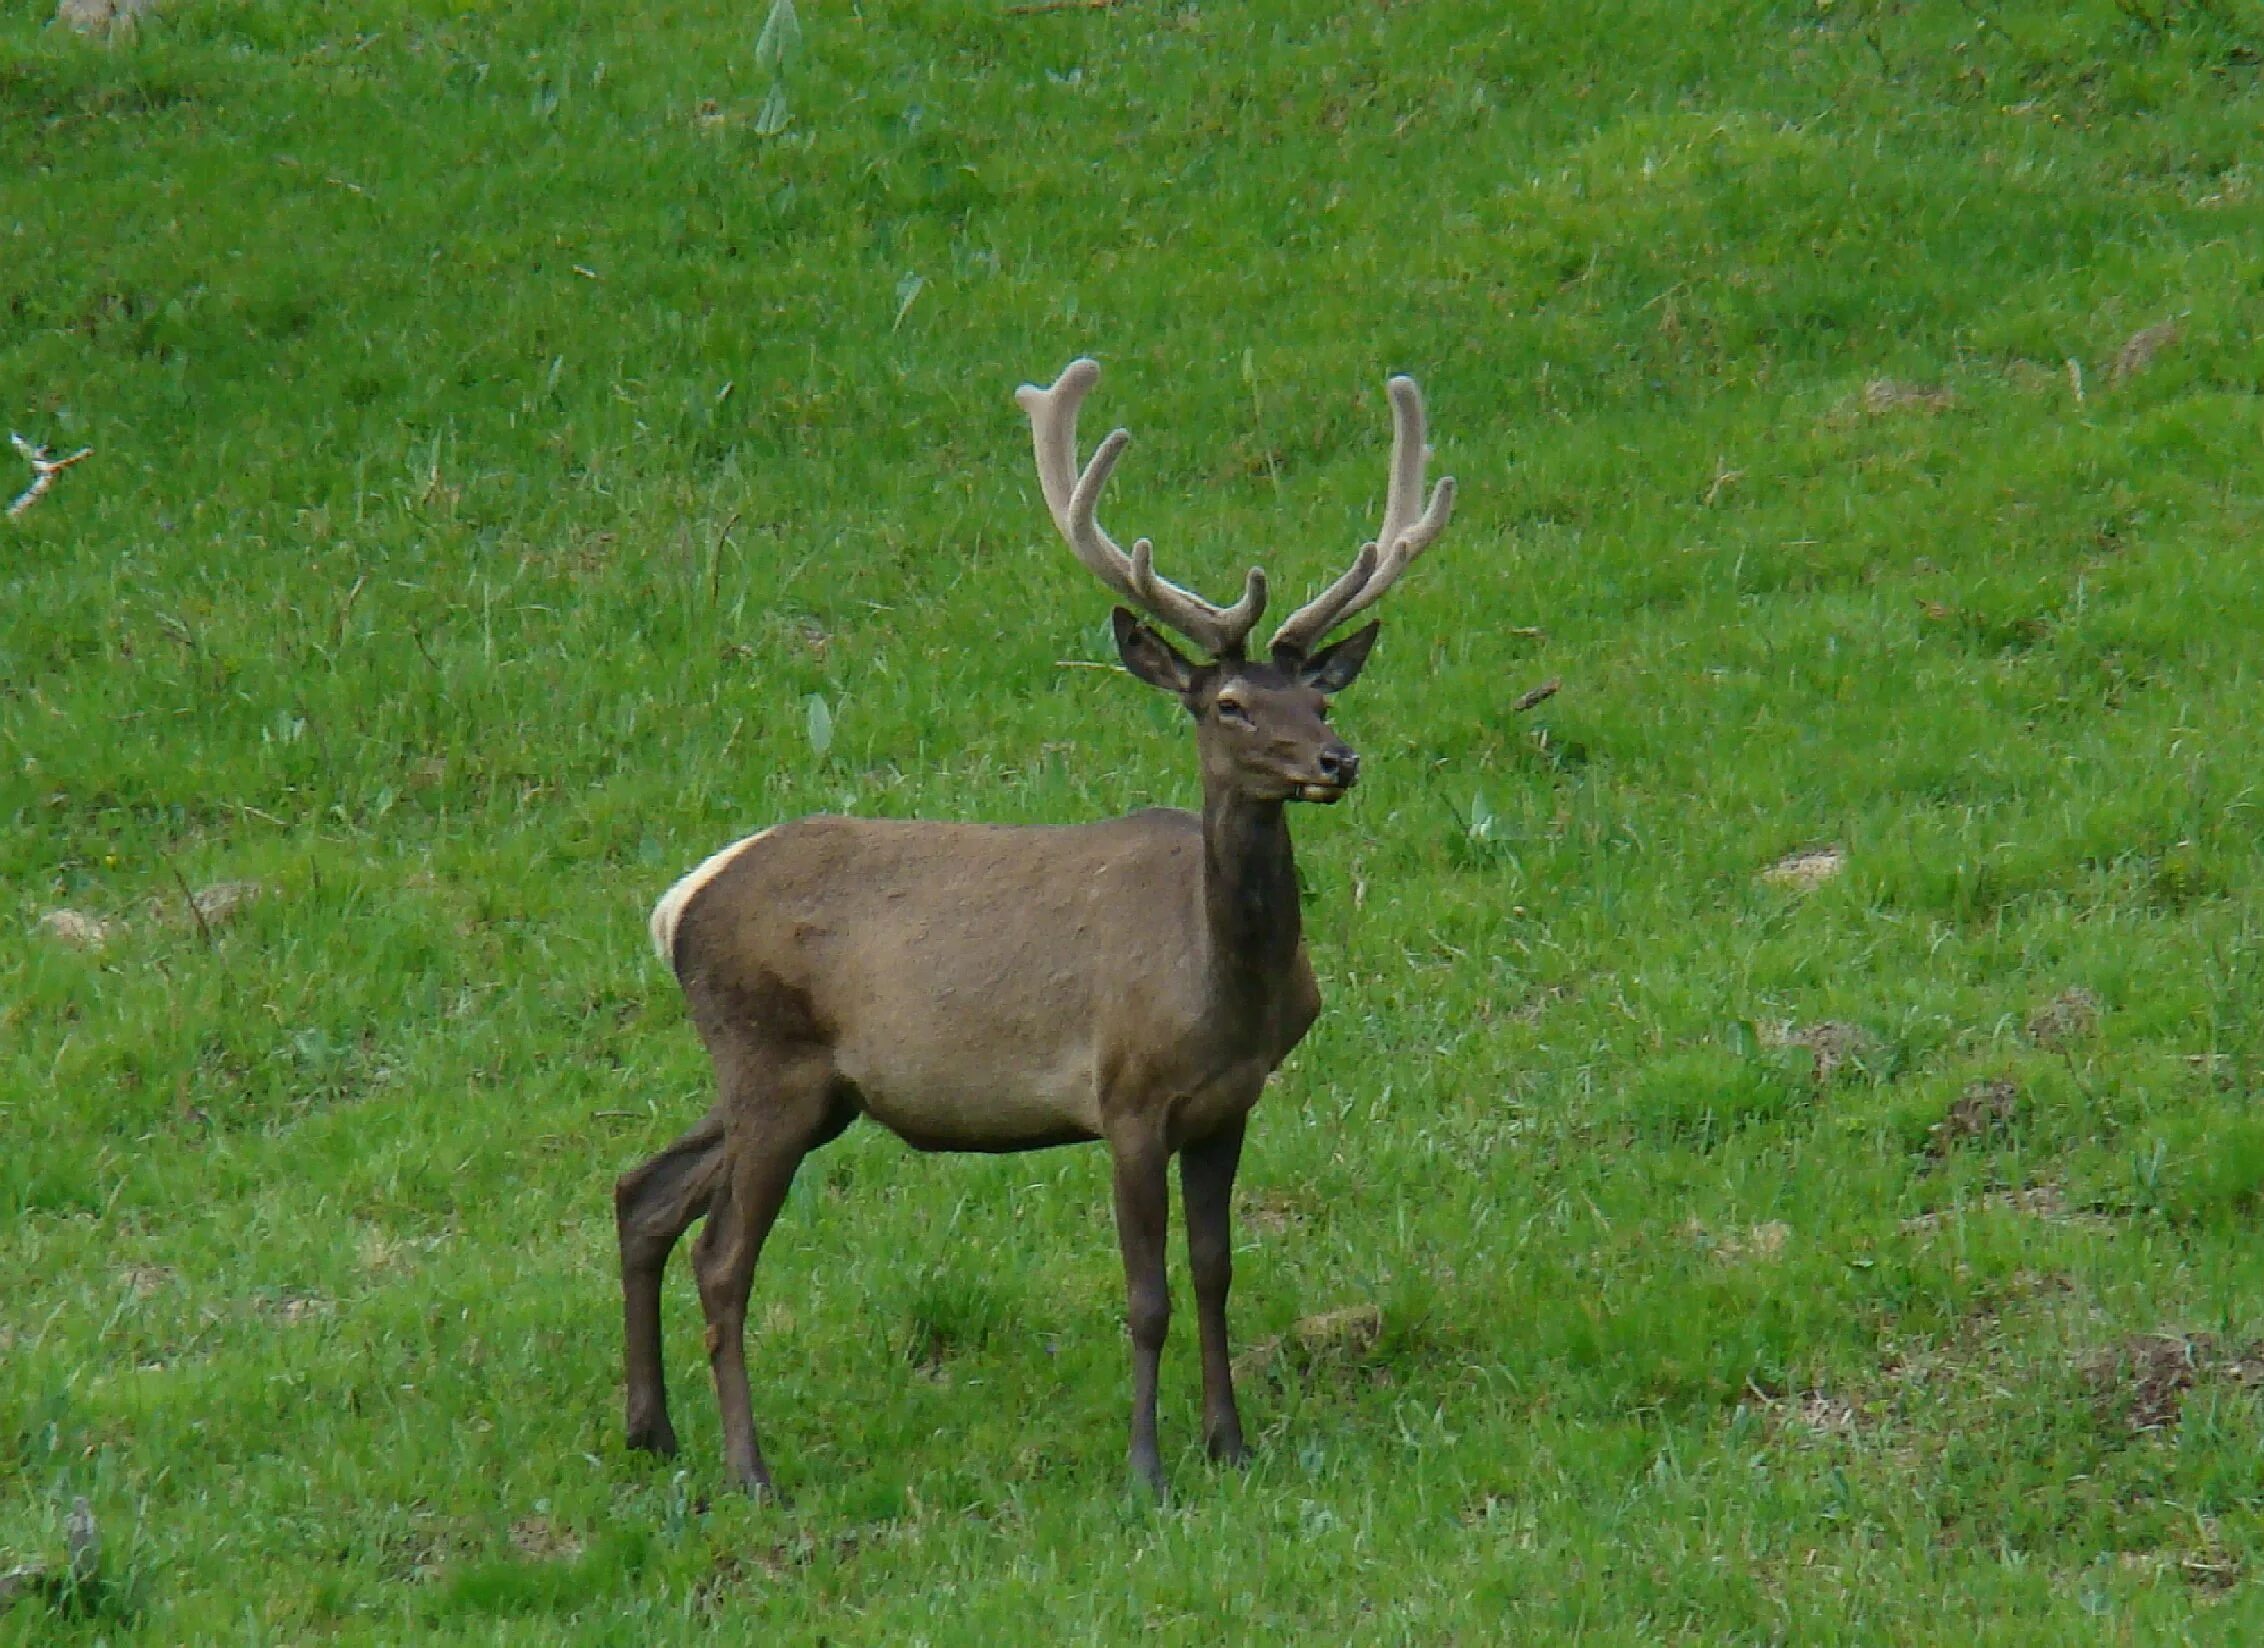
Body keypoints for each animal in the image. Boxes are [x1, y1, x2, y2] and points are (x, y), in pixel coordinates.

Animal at [615, 353, 1448, 1503]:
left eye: (1318, 701)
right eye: (1228, 703)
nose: (1338, 760)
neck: (1221, 984)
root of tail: (677, 905)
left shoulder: (1228, 1103)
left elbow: (1215, 1271)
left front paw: (1229, 1444)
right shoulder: (1127, 1095)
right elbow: (1146, 1294)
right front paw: (1146, 1470)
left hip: (808, 1086)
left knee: (642, 1192)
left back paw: (652, 1432)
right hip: (766, 1061)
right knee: (721, 1255)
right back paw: (751, 1472)